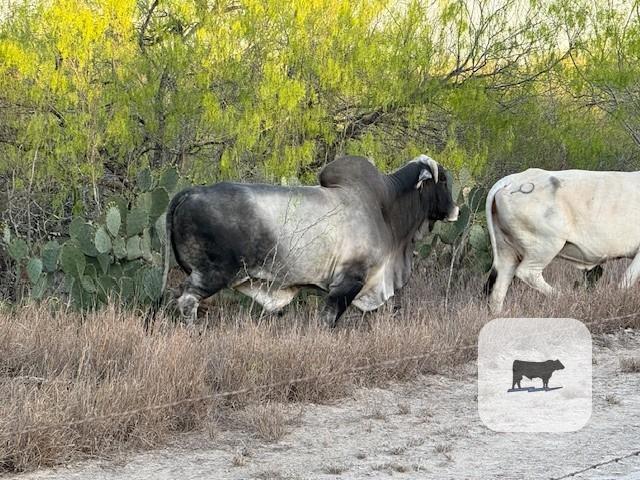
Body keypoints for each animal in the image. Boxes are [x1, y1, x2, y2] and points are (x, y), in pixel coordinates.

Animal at [161, 154, 459, 326]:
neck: (386, 210)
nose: (455, 210)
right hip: (211, 273)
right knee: (186, 301)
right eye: (443, 180)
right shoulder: (348, 282)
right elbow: (328, 321)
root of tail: (188, 193)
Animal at [485, 168, 640, 313]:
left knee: (499, 288)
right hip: (546, 245)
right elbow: (626, 281)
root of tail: (513, 180)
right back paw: (565, 298)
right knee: (527, 272)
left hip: (507, 251)